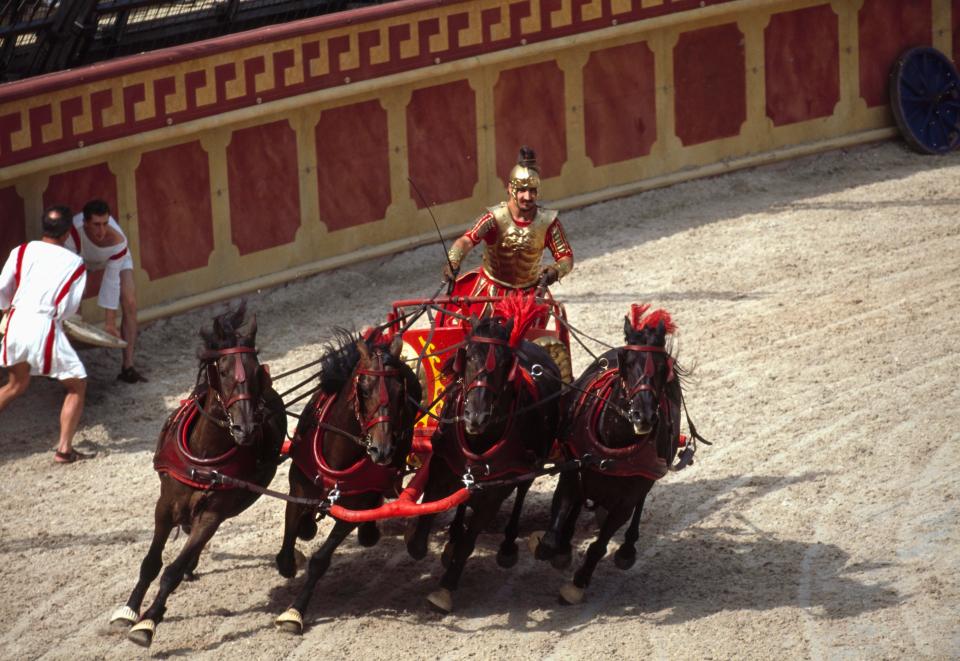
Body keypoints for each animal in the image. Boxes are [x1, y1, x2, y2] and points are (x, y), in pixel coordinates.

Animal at [109, 304, 284, 644]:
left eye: (256, 371)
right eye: (224, 371)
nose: (245, 428)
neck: (203, 458)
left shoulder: (212, 515)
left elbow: (172, 571)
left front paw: (148, 622)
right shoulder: (164, 505)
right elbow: (151, 563)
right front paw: (129, 610)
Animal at [272, 330, 418, 636]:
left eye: (400, 393)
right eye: (363, 389)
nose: (381, 450)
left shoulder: (355, 506)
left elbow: (321, 560)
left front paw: (294, 611)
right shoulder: (299, 489)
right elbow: (289, 538)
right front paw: (292, 555)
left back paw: (369, 530)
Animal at [404, 296, 564, 612]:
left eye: (503, 362)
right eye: (469, 357)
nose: (475, 416)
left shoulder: (496, 489)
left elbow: (471, 539)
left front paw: (445, 588)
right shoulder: (442, 465)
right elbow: (429, 512)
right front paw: (420, 542)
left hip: (531, 464)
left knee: (521, 494)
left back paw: (506, 546)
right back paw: (453, 534)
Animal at [532, 304, 688, 604]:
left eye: (663, 366)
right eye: (627, 361)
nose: (643, 415)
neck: (613, 448)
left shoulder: (626, 500)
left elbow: (599, 545)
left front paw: (578, 583)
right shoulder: (572, 474)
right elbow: (554, 531)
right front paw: (557, 549)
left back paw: (627, 549)